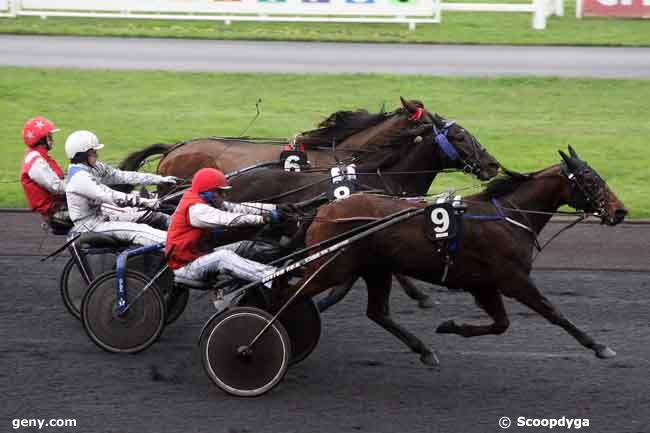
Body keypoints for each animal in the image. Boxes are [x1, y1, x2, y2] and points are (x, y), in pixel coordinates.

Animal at [294, 146, 628, 364]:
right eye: (589, 179)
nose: (620, 211)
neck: (509, 217)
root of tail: (325, 210)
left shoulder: (484, 284)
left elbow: (501, 324)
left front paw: (451, 326)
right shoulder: (513, 279)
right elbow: (553, 312)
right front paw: (598, 345)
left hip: (374, 268)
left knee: (377, 312)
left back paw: (424, 350)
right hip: (332, 266)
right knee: (298, 293)